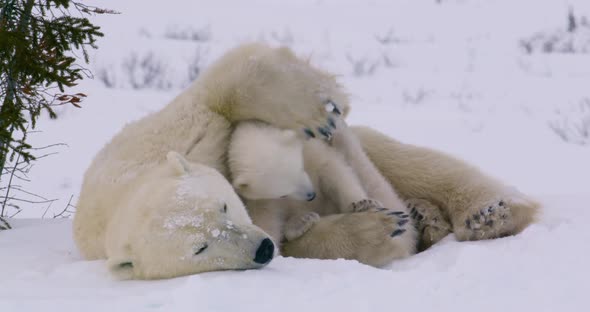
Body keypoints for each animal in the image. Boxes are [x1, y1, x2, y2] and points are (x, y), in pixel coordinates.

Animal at [73, 42, 540, 280]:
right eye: (200, 247)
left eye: (221, 206)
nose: (259, 248)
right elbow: (297, 241)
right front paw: (373, 229)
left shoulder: (172, 137)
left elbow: (223, 85)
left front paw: (316, 109)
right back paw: (429, 218)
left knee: (407, 159)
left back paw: (488, 214)